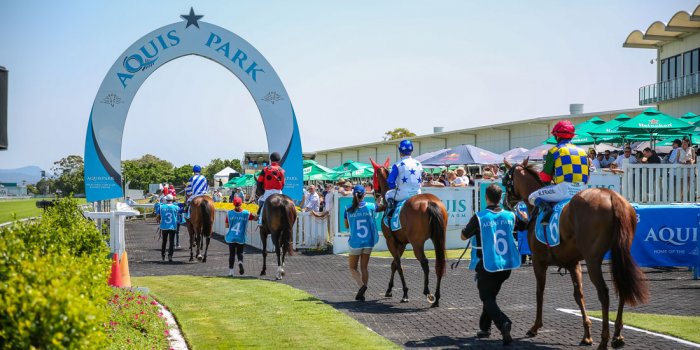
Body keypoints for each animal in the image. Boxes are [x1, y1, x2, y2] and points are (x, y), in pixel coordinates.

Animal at [370, 157, 446, 308]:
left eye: (373, 176)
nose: (374, 193)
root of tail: (429, 202)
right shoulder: (402, 243)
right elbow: (394, 264)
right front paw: (389, 290)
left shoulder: (391, 241)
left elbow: (398, 265)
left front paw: (405, 293)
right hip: (439, 239)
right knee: (439, 264)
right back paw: (437, 298)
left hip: (417, 243)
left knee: (425, 263)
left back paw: (427, 292)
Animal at [504, 159, 652, 350]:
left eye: (505, 178)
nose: (505, 202)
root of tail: (611, 196)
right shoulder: (573, 264)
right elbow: (578, 295)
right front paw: (587, 335)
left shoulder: (538, 261)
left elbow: (539, 292)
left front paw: (535, 327)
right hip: (619, 253)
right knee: (621, 286)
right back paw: (617, 336)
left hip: (593, 259)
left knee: (604, 293)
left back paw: (604, 340)